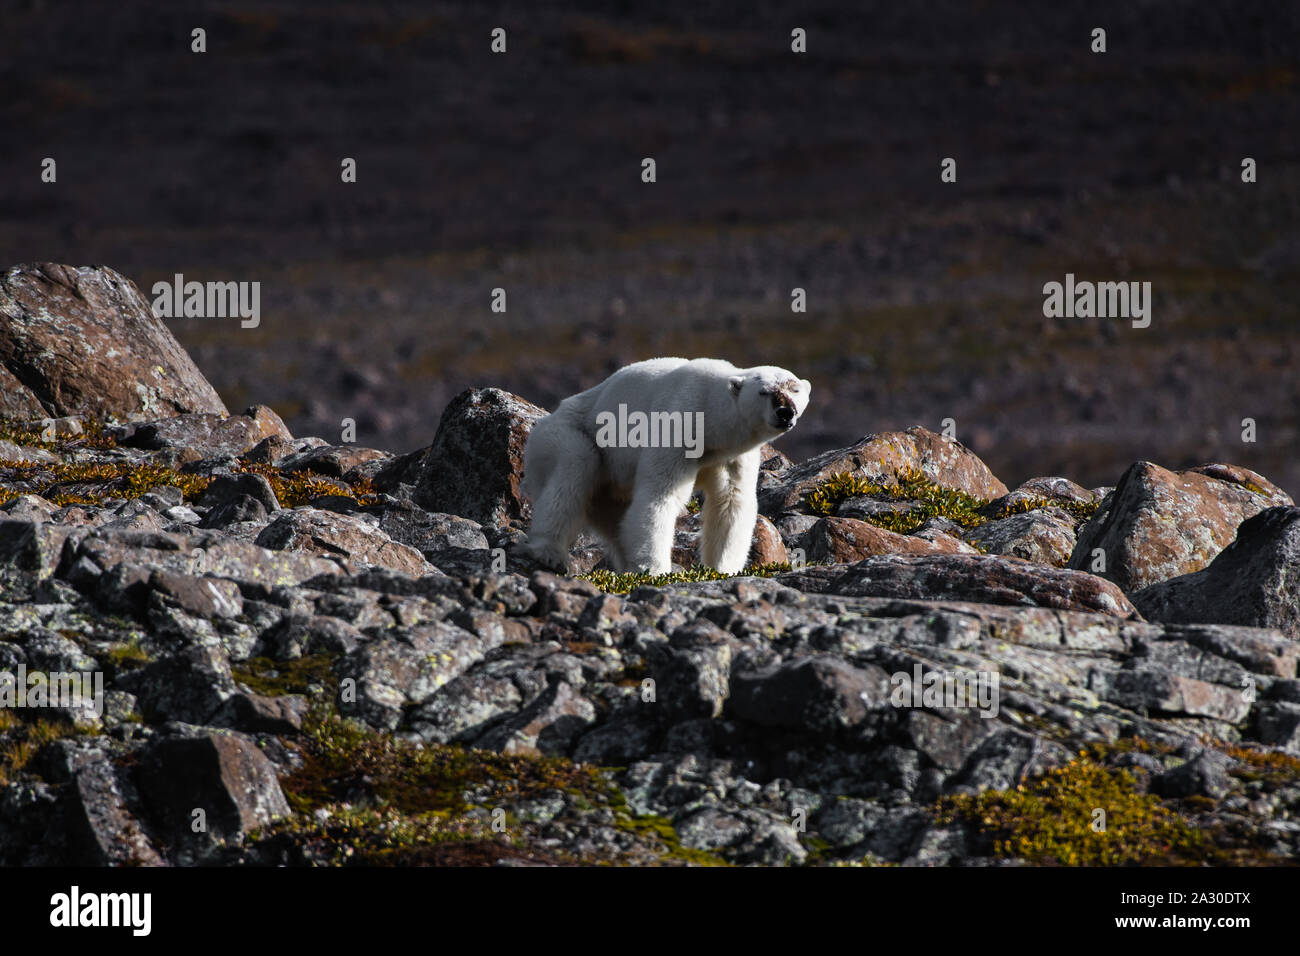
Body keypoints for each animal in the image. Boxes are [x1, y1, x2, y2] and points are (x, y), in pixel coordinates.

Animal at [520, 356, 806, 572]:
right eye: (764, 392)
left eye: (795, 390)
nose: (785, 412)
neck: (712, 420)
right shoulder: (678, 428)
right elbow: (660, 496)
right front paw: (654, 569)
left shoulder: (732, 457)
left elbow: (731, 501)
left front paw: (723, 568)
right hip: (566, 434)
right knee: (574, 467)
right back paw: (550, 553)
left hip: (607, 489)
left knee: (616, 519)